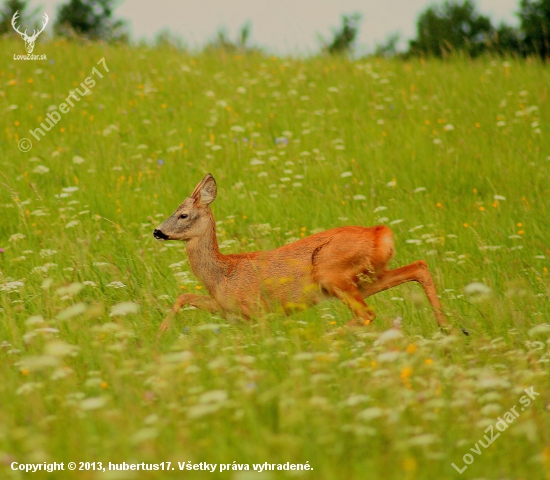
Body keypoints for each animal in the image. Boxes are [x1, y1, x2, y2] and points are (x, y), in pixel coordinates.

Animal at [154, 174, 458, 336]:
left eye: (183, 215)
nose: (157, 231)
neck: (221, 275)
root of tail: (381, 234)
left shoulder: (256, 310)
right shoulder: (225, 308)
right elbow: (184, 296)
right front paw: (162, 332)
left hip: (332, 272)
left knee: (368, 313)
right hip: (363, 278)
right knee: (418, 266)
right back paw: (447, 329)